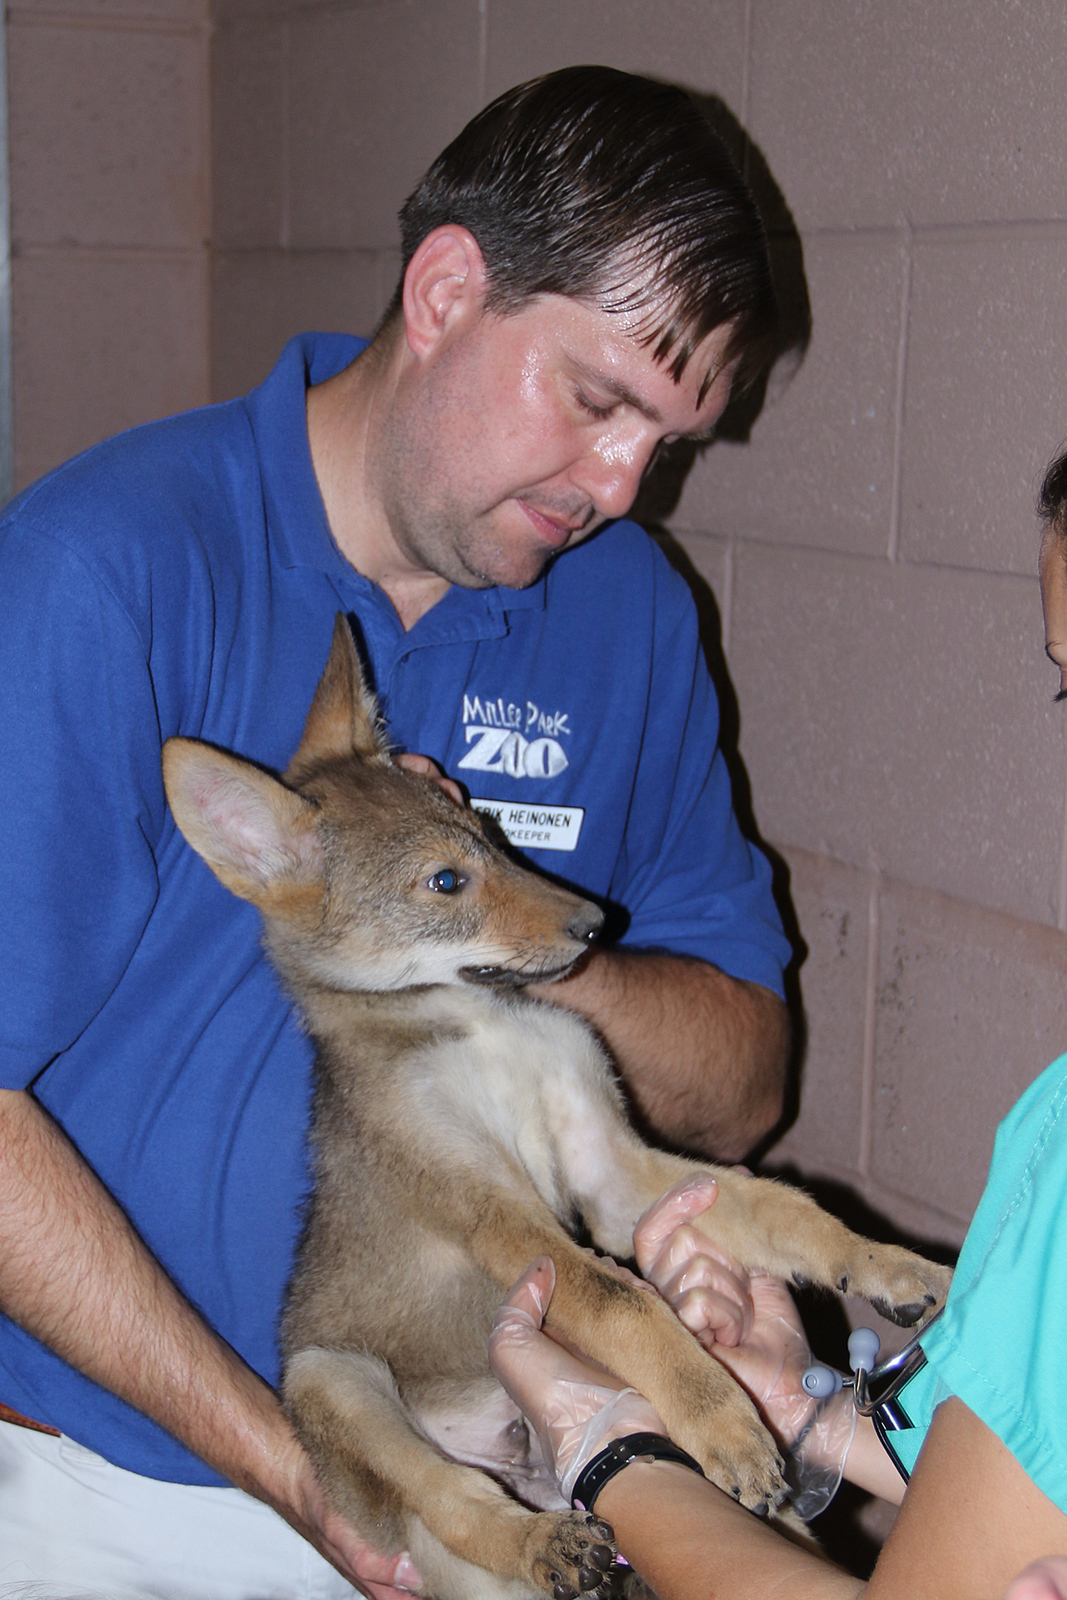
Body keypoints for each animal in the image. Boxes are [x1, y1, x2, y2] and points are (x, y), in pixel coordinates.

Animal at [162, 616, 950, 1600]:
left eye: (492, 830)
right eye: (445, 883)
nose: (595, 924)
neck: (484, 1024)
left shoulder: (611, 1171)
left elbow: (783, 1205)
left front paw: (890, 1264)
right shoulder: (501, 1219)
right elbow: (626, 1305)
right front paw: (721, 1419)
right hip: (332, 1382)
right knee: (456, 1503)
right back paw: (545, 1544)